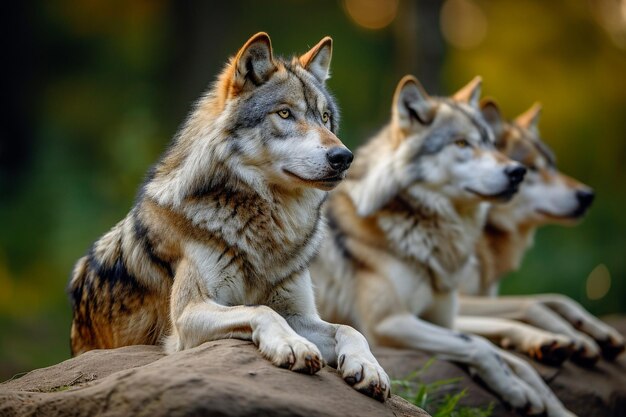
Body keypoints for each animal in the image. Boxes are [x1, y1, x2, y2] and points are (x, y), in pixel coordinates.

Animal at [69, 32, 390, 400]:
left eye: (324, 117)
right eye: (285, 113)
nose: (343, 157)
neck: (268, 226)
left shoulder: (298, 312)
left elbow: (350, 329)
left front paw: (369, 367)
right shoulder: (188, 317)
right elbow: (260, 309)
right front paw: (293, 346)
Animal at [312, 75, 576, 416]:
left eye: (491, 144)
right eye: (462, 144)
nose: (517, 172)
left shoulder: (442, 319)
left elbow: (511, 358)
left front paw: (549, 402)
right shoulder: (389, 323)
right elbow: (480, 345)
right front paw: (516, 390)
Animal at [454, 100, 624, 364]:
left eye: (553, 165)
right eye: (531, 168)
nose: (588, 195)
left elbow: (556, 298)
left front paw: (600, 332)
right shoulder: (456, 303)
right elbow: (530, 304)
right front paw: (569, 340)